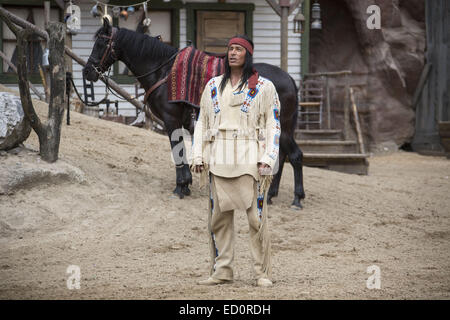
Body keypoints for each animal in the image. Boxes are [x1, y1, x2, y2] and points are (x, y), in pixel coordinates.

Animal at [82, 18, 304, 208]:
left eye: (101, 43)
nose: (87, 72)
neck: (163, 71)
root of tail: (289, 79)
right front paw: (186, 184)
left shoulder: (171, 120)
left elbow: (177, 151)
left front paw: (180, 186)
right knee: (281, 156)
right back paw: (271, 194)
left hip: (280, 127)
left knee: (295, 155)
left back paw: (296, 198)